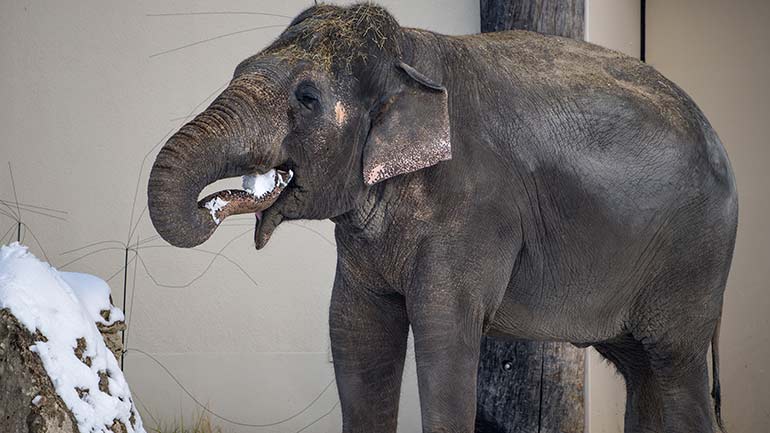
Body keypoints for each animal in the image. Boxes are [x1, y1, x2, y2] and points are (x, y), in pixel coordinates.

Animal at [147, 3, 736, 432]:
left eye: (308, 97)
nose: (213, 206)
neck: (409, 49)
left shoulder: (475, 209)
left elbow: (445, 335)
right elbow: (356, 330)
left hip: (694, 257)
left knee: (674, 367)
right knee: (643, 371)